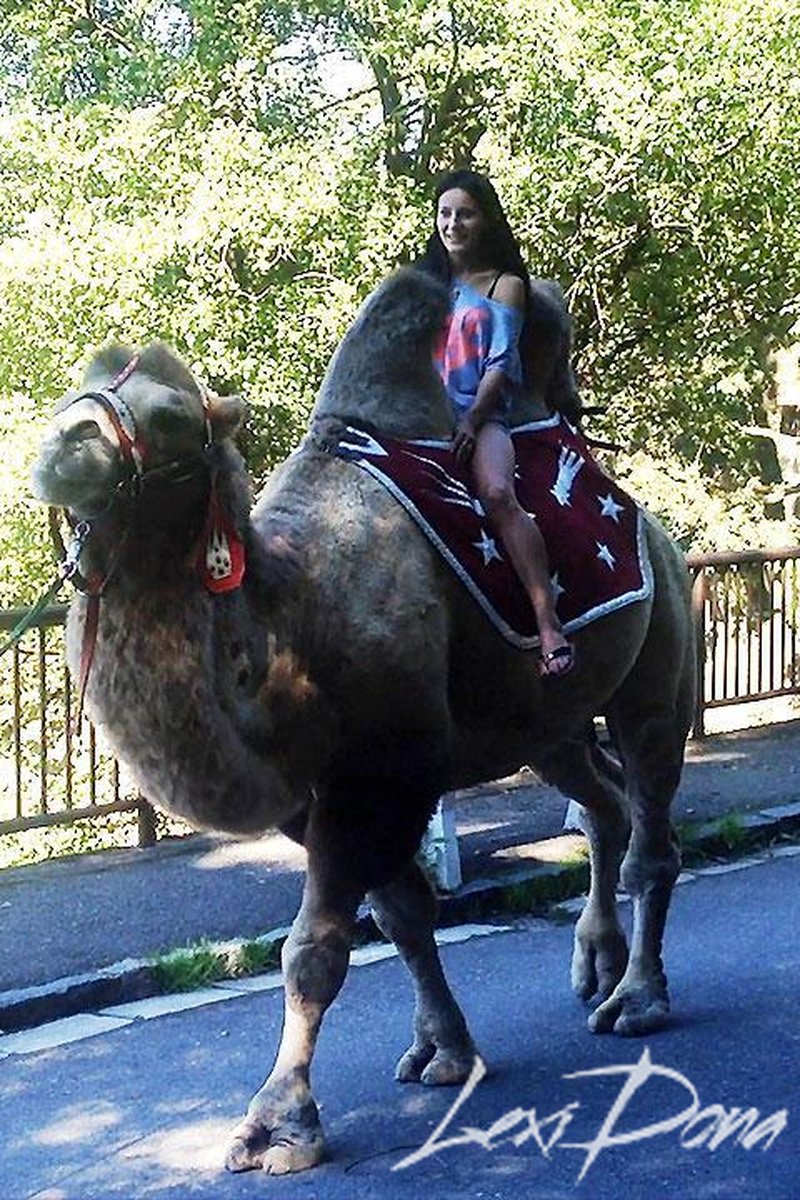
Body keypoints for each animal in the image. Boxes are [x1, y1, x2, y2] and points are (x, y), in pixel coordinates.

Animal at [31, 267, 695, 1176]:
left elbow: (314, 949)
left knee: (650, 812)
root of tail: (650, 526)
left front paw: (278, 1125)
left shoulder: (384, 772)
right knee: (603, 804)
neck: (293, 619)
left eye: (170, 417)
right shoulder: (318, 792)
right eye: (76, 387)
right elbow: (402, 915)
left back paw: (637, 1000)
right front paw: (444, 1052)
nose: (62, 448)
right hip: (544, 723)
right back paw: (597, 962)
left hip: (658, 658)